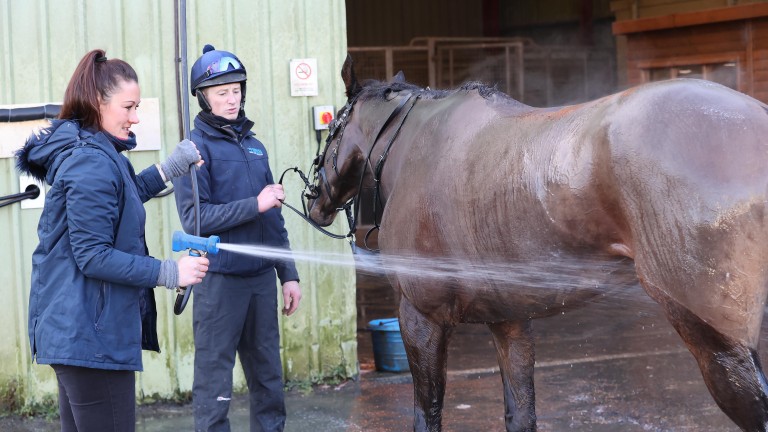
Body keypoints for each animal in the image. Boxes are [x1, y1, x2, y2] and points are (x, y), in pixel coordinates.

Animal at [308, 54, 768, 432]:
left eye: (329, 131)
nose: (313, 201)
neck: (414, 147)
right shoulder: (509, 320)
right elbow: (520, 411)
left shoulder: (421, 317)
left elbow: (429, 413)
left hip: (712, 335)